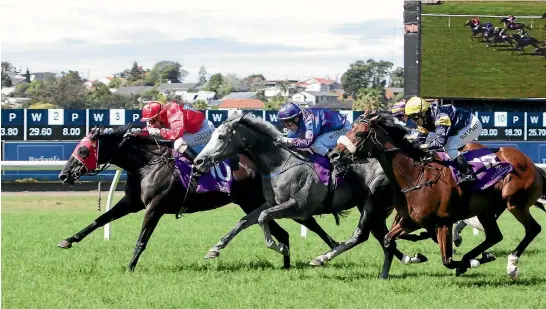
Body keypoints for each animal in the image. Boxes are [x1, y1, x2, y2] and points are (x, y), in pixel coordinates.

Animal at [56, 122, 344, 270]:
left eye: (82, 151)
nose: (63, 175)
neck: (147, 163)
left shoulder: (155, 207)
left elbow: (142, 239)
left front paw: (130, 266)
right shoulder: (131, 202)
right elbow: (99, 220)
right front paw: (67, 240)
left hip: (261, 202)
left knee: (309, 222)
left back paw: (330, 249)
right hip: (252, 204)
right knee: (283, 232)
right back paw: (287, 264)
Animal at [191, 112, 424, 276]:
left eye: (221, 137)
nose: (198, 161)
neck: (280, 163)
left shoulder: (298, 207)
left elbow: (262, 218)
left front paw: (280, 247)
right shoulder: (271, 203)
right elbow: (245, 220)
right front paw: (214, 249)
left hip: (373, 203)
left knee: (363, 235)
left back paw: (322, 258)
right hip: (373, 206)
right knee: (382, 236)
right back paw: (410, 259)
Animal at [328, 111, 544, 280]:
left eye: (360, 133)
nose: (333, 155)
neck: (414, 175)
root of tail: (531, 163)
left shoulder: (443, 222)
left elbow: (447, 260)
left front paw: (471, 262)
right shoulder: (410, 220)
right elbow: (389, 240)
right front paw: (384, 274)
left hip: (515, 203)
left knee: (533, 229)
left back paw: (511, 265)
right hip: (486, 210)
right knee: (495, 235)